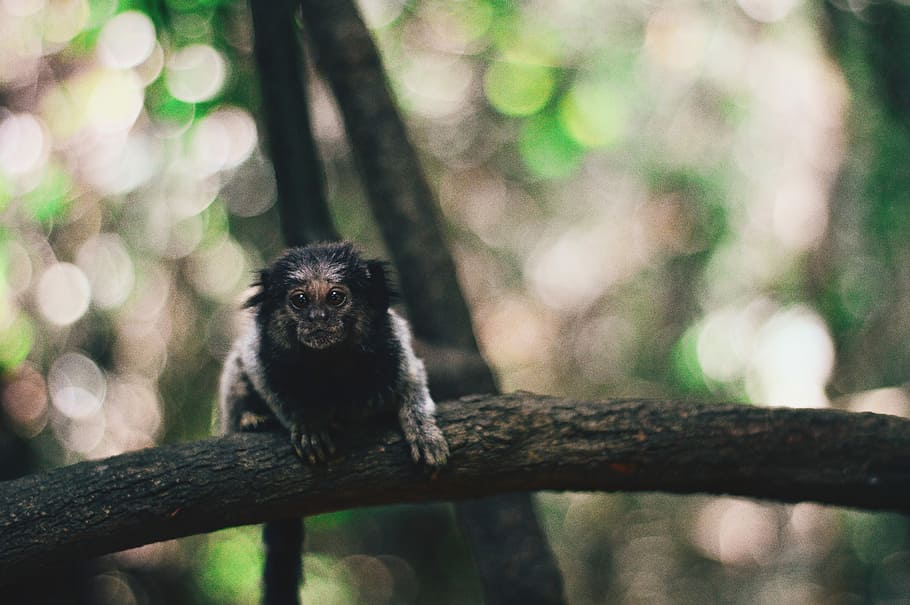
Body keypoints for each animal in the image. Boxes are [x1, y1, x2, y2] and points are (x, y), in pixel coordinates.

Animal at [217, 241, 449, 605]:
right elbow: (259, 374)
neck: (329, 363)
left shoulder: (394, 350)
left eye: (335, 297)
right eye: (300, 300)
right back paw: (252, 420)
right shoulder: (262, 356)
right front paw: (308, 424)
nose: (318, 319)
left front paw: (423, 432)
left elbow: (413, 380)